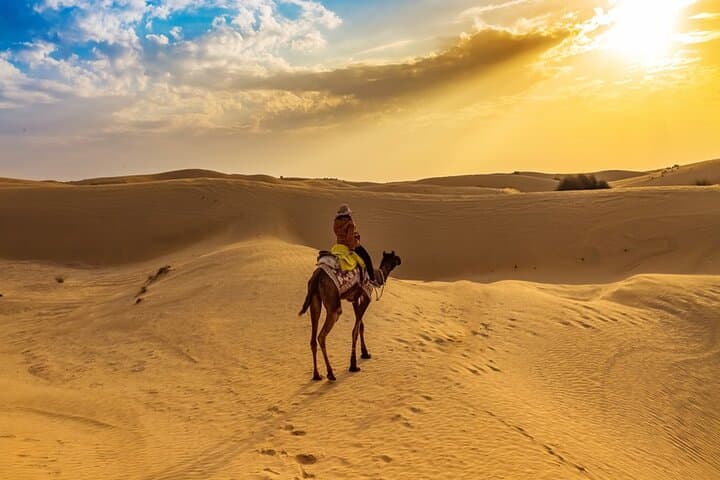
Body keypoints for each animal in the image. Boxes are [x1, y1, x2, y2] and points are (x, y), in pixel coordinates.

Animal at [299, 250, 402, 381]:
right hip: (333, 304)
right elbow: (355, 331)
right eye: (395, 257)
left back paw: (316, 375)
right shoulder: (367, 295)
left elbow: (361, 326)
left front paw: (365, 353)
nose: (400, 259)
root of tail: (316, 277)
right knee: (322, 335)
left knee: (313, 338)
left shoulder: (355, 299)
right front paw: (353, 365)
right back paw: (330, 373)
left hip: (314, 299)